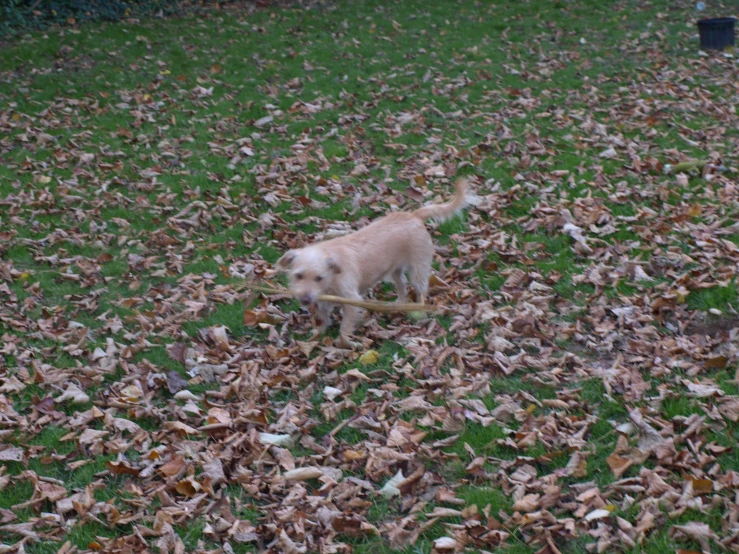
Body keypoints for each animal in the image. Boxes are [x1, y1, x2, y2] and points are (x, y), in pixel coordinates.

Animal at [274, 179, 472, 348]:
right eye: (298, 275)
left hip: (418, 269)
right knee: (402, 285)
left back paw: (419, 312)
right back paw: (399, 303)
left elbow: (345, 327)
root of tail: (414, 215)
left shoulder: (351, 300)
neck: (332, 276)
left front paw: (342, 343)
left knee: (420, 290)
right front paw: (318, 334)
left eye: (319, 278)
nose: (305, 299)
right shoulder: (322, 300)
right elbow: (322, 319)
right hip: (395, 271)